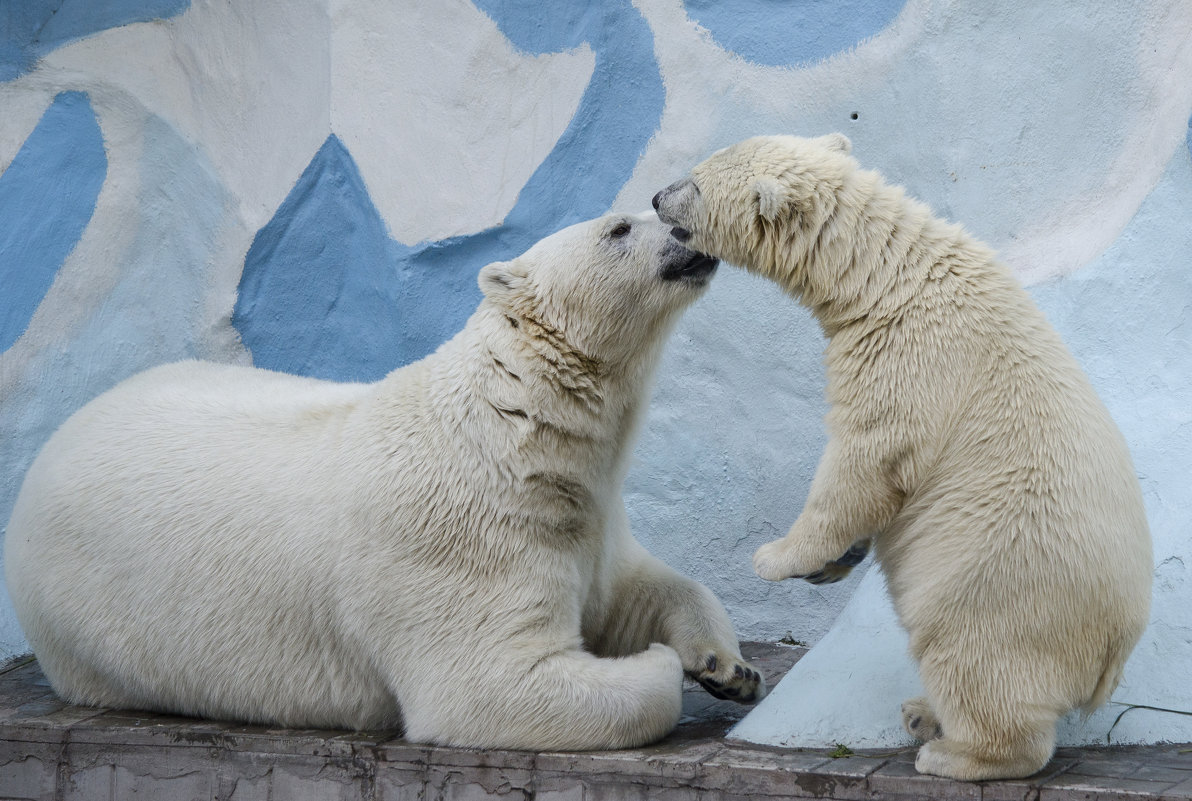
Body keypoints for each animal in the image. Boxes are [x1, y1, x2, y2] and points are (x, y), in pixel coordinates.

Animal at [2, 210, 762, 753]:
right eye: (619, 227)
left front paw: (728, 667)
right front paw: (662, 665)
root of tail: (58, 437)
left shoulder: (584, 512)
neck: (514, 429)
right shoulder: (460, 537)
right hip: (81, 621)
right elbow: (490, 685)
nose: (686, 223)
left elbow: (638, 587)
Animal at [653, 134, 1153, 777]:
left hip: (997, 582)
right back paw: (924, 714)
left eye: (693, 181)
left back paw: (950, 749)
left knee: (971, 656)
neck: (886, 275)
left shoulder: (904, 357)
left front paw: (777, 557)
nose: (656, 196)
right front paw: (833, 563)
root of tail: (1112, 651)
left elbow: (864, 463)